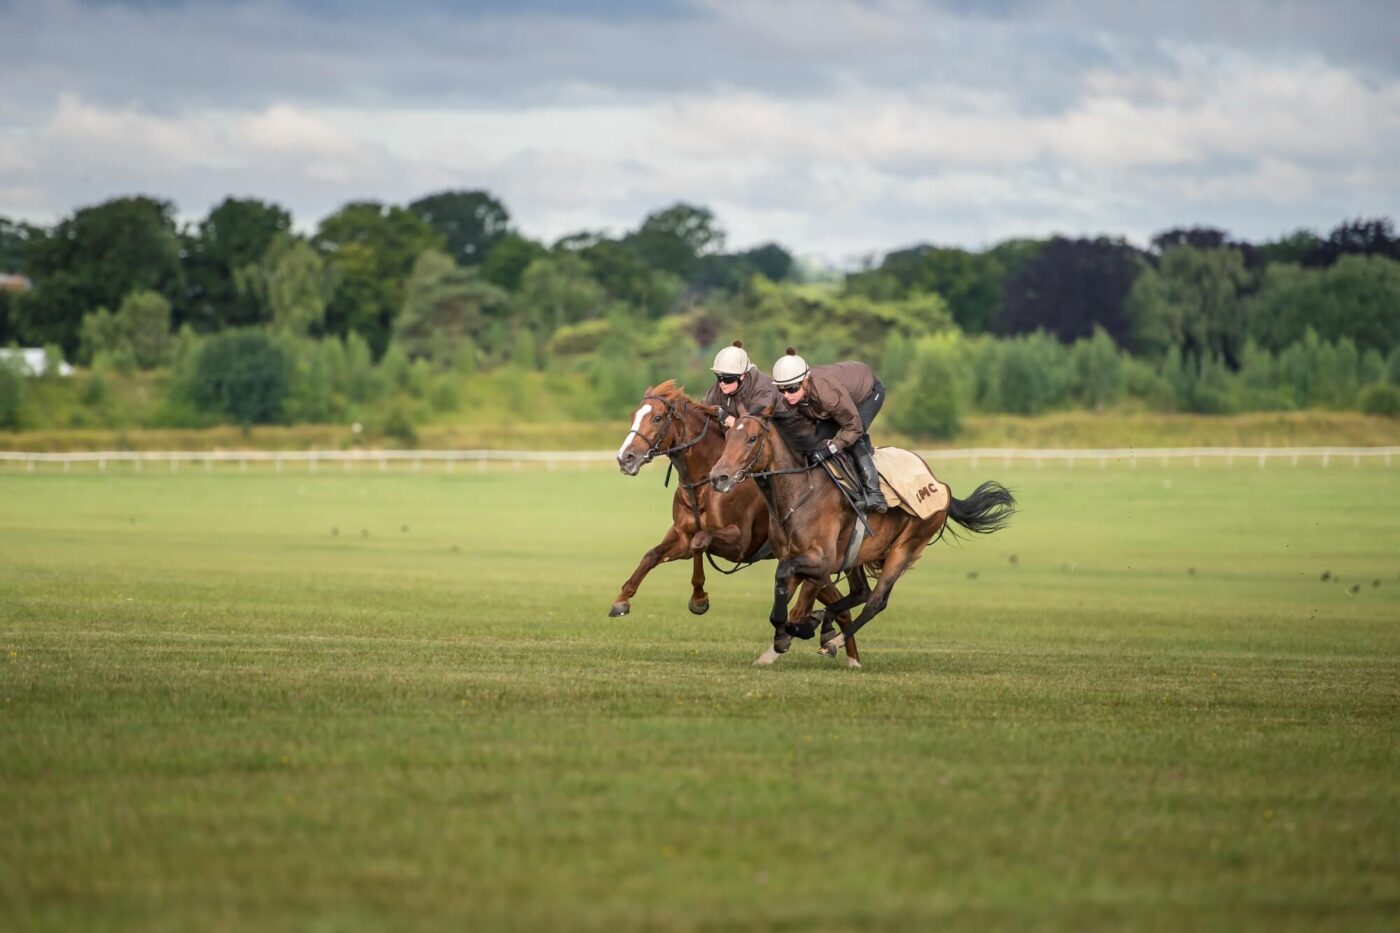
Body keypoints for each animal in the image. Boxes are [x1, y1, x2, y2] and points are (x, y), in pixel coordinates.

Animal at [616, 381, 862, 664]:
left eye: (656, 418)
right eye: (633, 416)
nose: (625, 458)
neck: (704, 482)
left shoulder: (740, 543)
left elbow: (701, 541)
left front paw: (699, 599)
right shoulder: (681, 536)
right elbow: (653, 555)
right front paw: (622, 600)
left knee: (840, 606)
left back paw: (844, 654)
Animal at [711, 406, 1019, 661]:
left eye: (751, 439)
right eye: (728, 437)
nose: (718, 477)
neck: (800, 490)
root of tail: (940, 484)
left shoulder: (820, 559)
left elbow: (787, 582)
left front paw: (797, 627)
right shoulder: (795, 554)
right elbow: (784, 585)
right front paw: (788, 632)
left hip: (905, 547)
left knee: (875, 601)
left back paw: (832, 640)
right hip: (857, 553)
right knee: (861, 592)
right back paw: (823, 622)